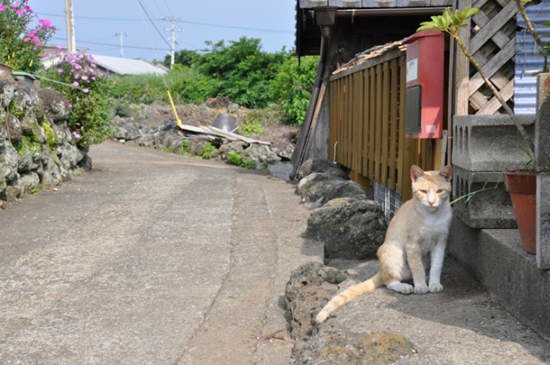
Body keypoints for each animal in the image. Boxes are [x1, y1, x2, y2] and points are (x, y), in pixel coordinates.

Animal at [316, 164, 454, 322]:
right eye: (423, 191)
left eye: (439, 191)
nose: (431, 202)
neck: (432, 217)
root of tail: (381, 270)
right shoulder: (412, 245)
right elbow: (417, 267)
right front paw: (420, 286)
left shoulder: (441, 243)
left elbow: (437, 266)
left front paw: (434, 283)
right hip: (393, 251)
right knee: (390, 281)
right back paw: (404, 286)